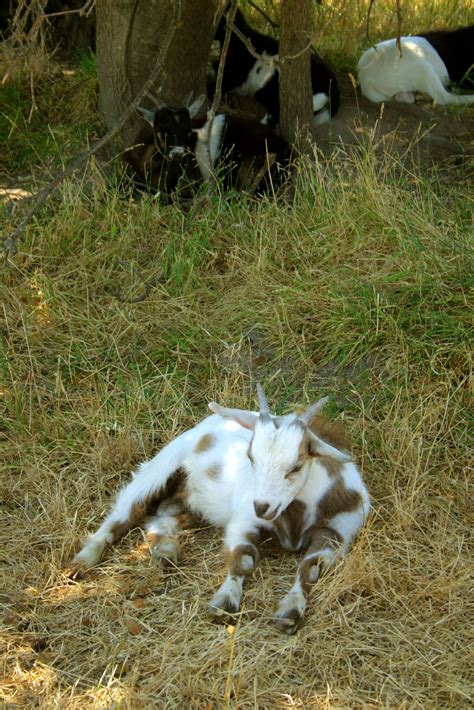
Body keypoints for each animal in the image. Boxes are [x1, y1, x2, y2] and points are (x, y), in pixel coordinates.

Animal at [71, 385, 370, 634]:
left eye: (296, 466)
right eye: (251, 457)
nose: (262, 506)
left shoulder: (337, 534)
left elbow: (310, 569)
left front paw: (290, 612)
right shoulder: (243, 522)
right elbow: (245, 558)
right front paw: (225, 602)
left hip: (194, 505)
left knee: (160, 517)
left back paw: (165, 550)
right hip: (161, 466)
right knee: (124, 512)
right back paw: (82, 562)